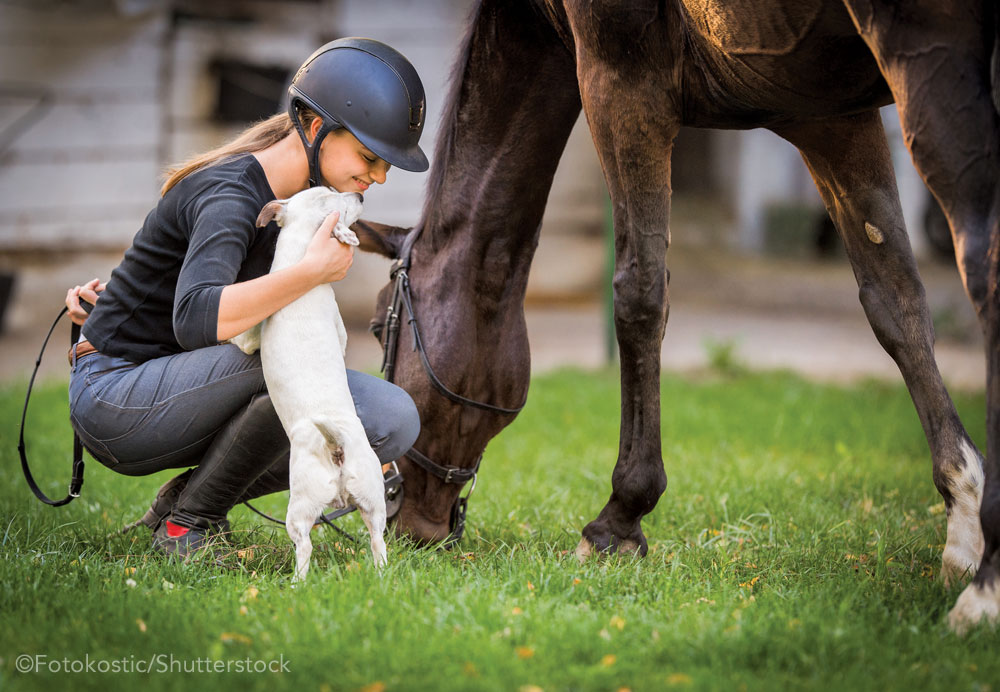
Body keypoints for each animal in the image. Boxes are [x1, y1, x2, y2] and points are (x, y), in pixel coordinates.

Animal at [232, 187, 388, 580]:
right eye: (335, 196)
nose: (360, 193)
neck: (298, 258)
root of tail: (337, 445)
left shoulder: (251, 337)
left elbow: (238, 339)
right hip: (372, 500)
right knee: (378, 542)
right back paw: (381, 576)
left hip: (299, 508)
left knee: (304, 547)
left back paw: (297, 583)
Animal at [354, 0, 1000, 632]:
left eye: (380, 328)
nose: (406, 524)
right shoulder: (833, 119)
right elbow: (894, 301)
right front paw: (963, 514)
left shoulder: (621, 81)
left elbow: (639, 294)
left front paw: (618, 522)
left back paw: (984, 596)